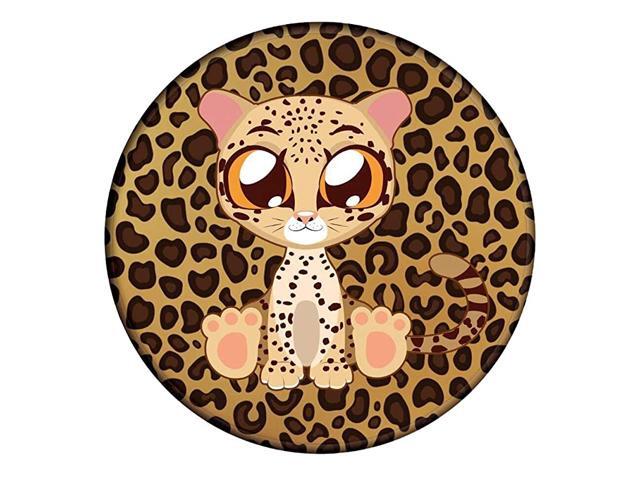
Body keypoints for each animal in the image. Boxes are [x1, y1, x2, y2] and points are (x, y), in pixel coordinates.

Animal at [105, 22, 534, 453]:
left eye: (351, 180)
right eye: (261, 182)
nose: (306, 217)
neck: (306, 263)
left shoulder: (331, 306)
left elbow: (331, 334)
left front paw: (330, 370)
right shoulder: (280, 305)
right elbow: (280, 333)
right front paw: (281, 369)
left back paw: (379, 337)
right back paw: (233, 339)